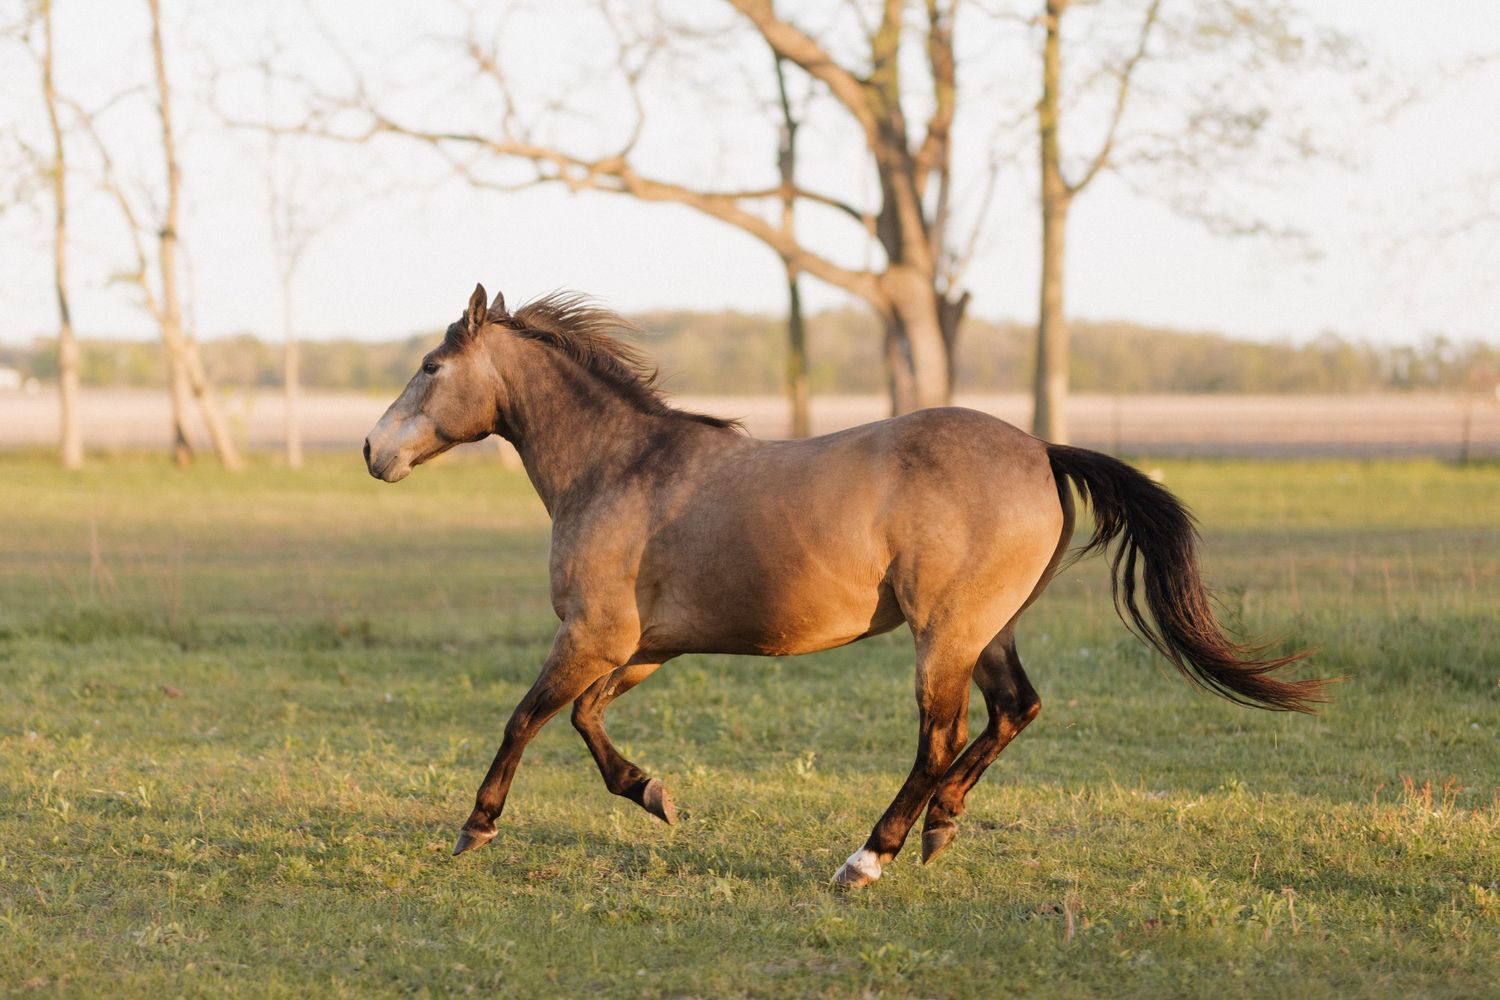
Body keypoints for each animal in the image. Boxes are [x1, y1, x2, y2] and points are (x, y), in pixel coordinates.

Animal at [363, 284, 1325, 888]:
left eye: (430, 367)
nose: (372, 451)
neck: (619, 468)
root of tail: (1039, 450)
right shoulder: (645, 648)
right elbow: (585, 720)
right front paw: (653, 794)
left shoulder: (592, 636)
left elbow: (525, 717)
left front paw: (476, 827)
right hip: (987, 630)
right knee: (1015, 711)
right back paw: (940, 827)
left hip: (944, 634)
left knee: (941, 738)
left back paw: (870, 857)